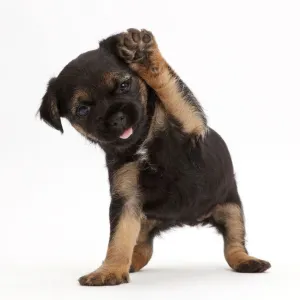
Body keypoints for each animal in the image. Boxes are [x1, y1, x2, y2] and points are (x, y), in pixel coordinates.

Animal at [38, 28, 270, 286]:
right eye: (82, 110)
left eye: (124, 85)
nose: (116, 118)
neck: (144, 141)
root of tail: (186, 220)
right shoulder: (127, 200)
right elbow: (119, 238)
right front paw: (110, 270)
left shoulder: (189, 124)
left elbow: (169, 87)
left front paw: (142, 55)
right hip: (145, 221)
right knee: (143, 248)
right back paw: (128, 264)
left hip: (231, 208)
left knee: (233, 243)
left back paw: (247, 261)